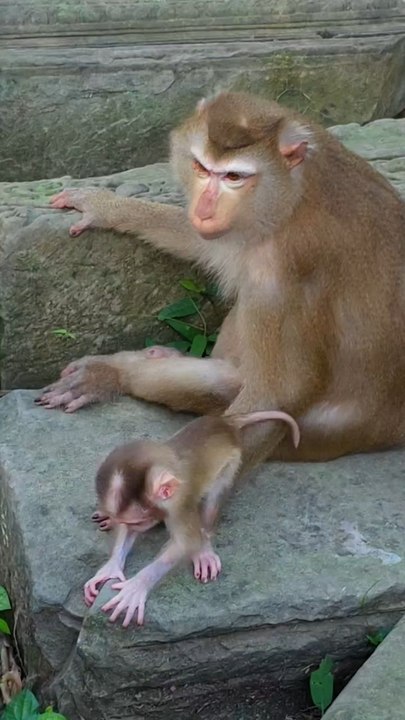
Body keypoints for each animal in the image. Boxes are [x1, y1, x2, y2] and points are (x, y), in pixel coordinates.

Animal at [36, 91, 405, 470]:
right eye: (201, 168)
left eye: (233, 177)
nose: (204, 209)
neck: (294, 194)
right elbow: (202, 240)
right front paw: (108, 207)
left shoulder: (288, 264)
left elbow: (281, 392)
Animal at [84, 410, 300, 626]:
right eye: (132, 522)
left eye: (140, 521)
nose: (137, 528)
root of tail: (224, 422)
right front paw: (111, 567)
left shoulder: (179, 505)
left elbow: (186, 542)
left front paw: (137, 585)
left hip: (233, 460)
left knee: (215, 494)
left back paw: (203, 548)